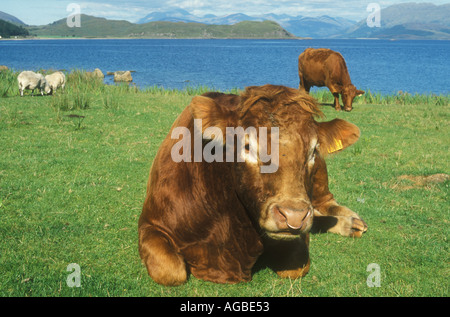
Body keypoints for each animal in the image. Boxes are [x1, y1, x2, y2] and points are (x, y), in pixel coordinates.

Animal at [139, 85, 368, 286]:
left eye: (313, 151)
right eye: (247, 146)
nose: (294, 216)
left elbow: (297, 265)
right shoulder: (150, 224)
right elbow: (171, 271)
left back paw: (349, 222)